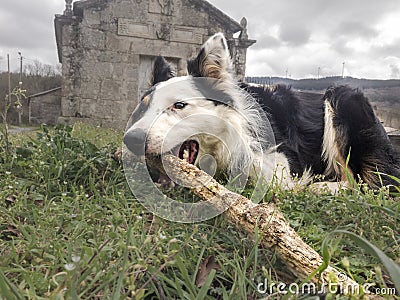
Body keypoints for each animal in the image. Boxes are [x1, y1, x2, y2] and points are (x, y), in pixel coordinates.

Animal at [124, 32, 400, 190]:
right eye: (144, 108)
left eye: (179, 105)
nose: (131, 140)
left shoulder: (282, 162)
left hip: (343, 97)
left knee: (374, 185)